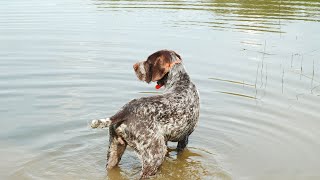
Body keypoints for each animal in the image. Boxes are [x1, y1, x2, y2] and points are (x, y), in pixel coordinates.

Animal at [90, 49, 200, 179]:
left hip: (114, 151)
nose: (134, 66)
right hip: (154, 156)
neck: (180, 81)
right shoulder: (184, 139)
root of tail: (124, 111)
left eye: (148, 61)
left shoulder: (168, 140)